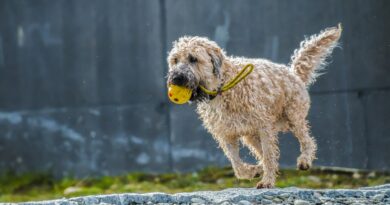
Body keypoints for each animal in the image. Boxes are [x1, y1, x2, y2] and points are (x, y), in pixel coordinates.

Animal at [167, 24, 342, 188]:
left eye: (193, 59)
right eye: (175, 60)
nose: (176, 78)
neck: (223, 87)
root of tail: (293, 73)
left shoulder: (264, 127)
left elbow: (269, 155)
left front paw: (267, 181)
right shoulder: (226, 134)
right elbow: (237, 163)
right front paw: (253, 171)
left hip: (293, 117)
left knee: (307, 141)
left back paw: (304, 160)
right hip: (250, 135)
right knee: (264, 152)